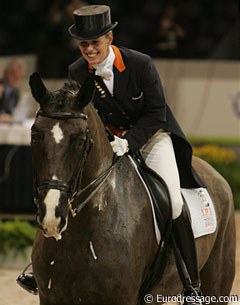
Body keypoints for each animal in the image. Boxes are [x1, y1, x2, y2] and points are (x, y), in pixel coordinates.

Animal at [29, 73, 235, 304]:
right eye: (35, 134)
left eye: (80, 139)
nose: (51, 217)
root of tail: (215, 173)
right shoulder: (50, 296)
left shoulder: (122, 297)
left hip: (217, 281)